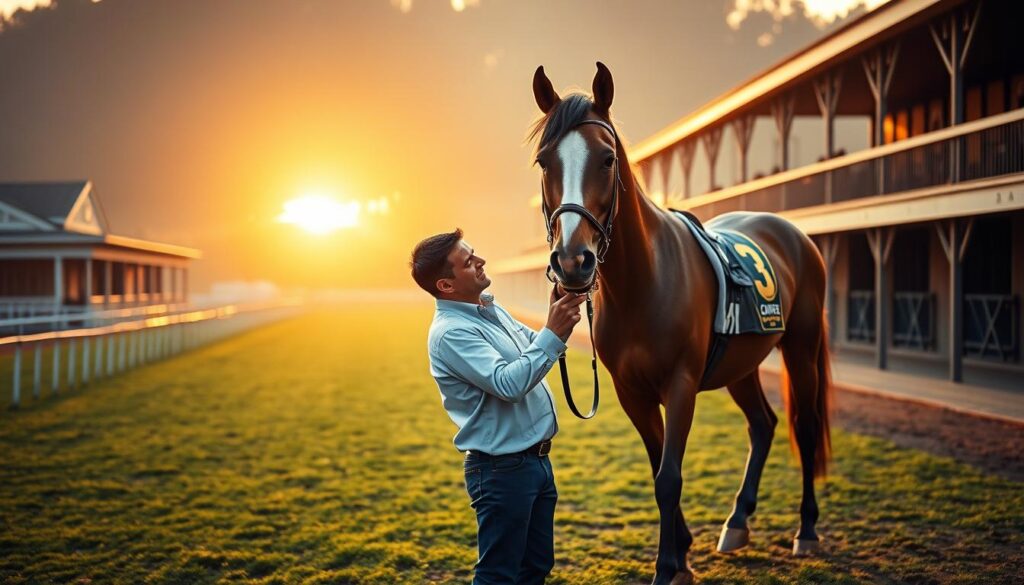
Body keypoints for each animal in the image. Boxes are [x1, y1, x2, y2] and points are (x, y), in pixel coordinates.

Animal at [528, 61, 831, 581]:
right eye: (546, 162)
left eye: (607, 159)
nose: (572, 261)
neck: (644, 281)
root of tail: (794, 233)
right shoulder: (631, 392)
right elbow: (657, 468)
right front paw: (684, 552)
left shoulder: (680, 384)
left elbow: (669, 476)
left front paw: (669, 565)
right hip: (741, 364)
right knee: (763, 424)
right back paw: (737, 521)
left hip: (801, 348)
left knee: (804, 426)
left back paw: (806, 531)